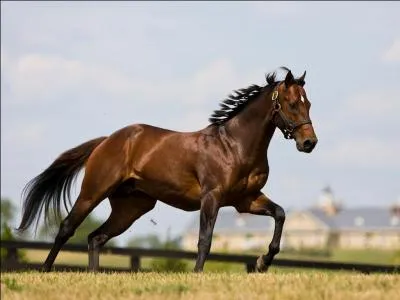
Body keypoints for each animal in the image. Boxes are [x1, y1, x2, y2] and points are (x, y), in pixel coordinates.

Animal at [18, 67, 318, 274]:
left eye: (309, 103)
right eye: (293, 104)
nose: (309, 143)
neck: (234, 145)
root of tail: (106, 141)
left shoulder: (246, 200)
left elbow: (280, 214)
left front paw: (262, 262)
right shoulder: (212, 197)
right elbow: (204, 239)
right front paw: (198, 274)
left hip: (132, 207)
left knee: (96, 237)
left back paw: (93, 276)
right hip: (93, 192)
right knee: (67, 228)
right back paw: (45, 270)